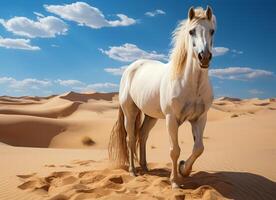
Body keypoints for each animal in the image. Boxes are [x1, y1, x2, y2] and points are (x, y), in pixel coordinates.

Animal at [109, 5, 217, 188]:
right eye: (191, 31)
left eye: (212, 31)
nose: (204, 57)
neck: (192, 85)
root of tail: (131, 68)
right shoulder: (171, 119)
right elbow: (174, 150)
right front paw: (174, 181)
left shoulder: (200, 118)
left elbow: (198, 148)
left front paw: (183, 169)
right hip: (130, 112)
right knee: (131, 138)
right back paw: (133, 171)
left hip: (151, 116)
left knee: (143, 136)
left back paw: (145, 167)